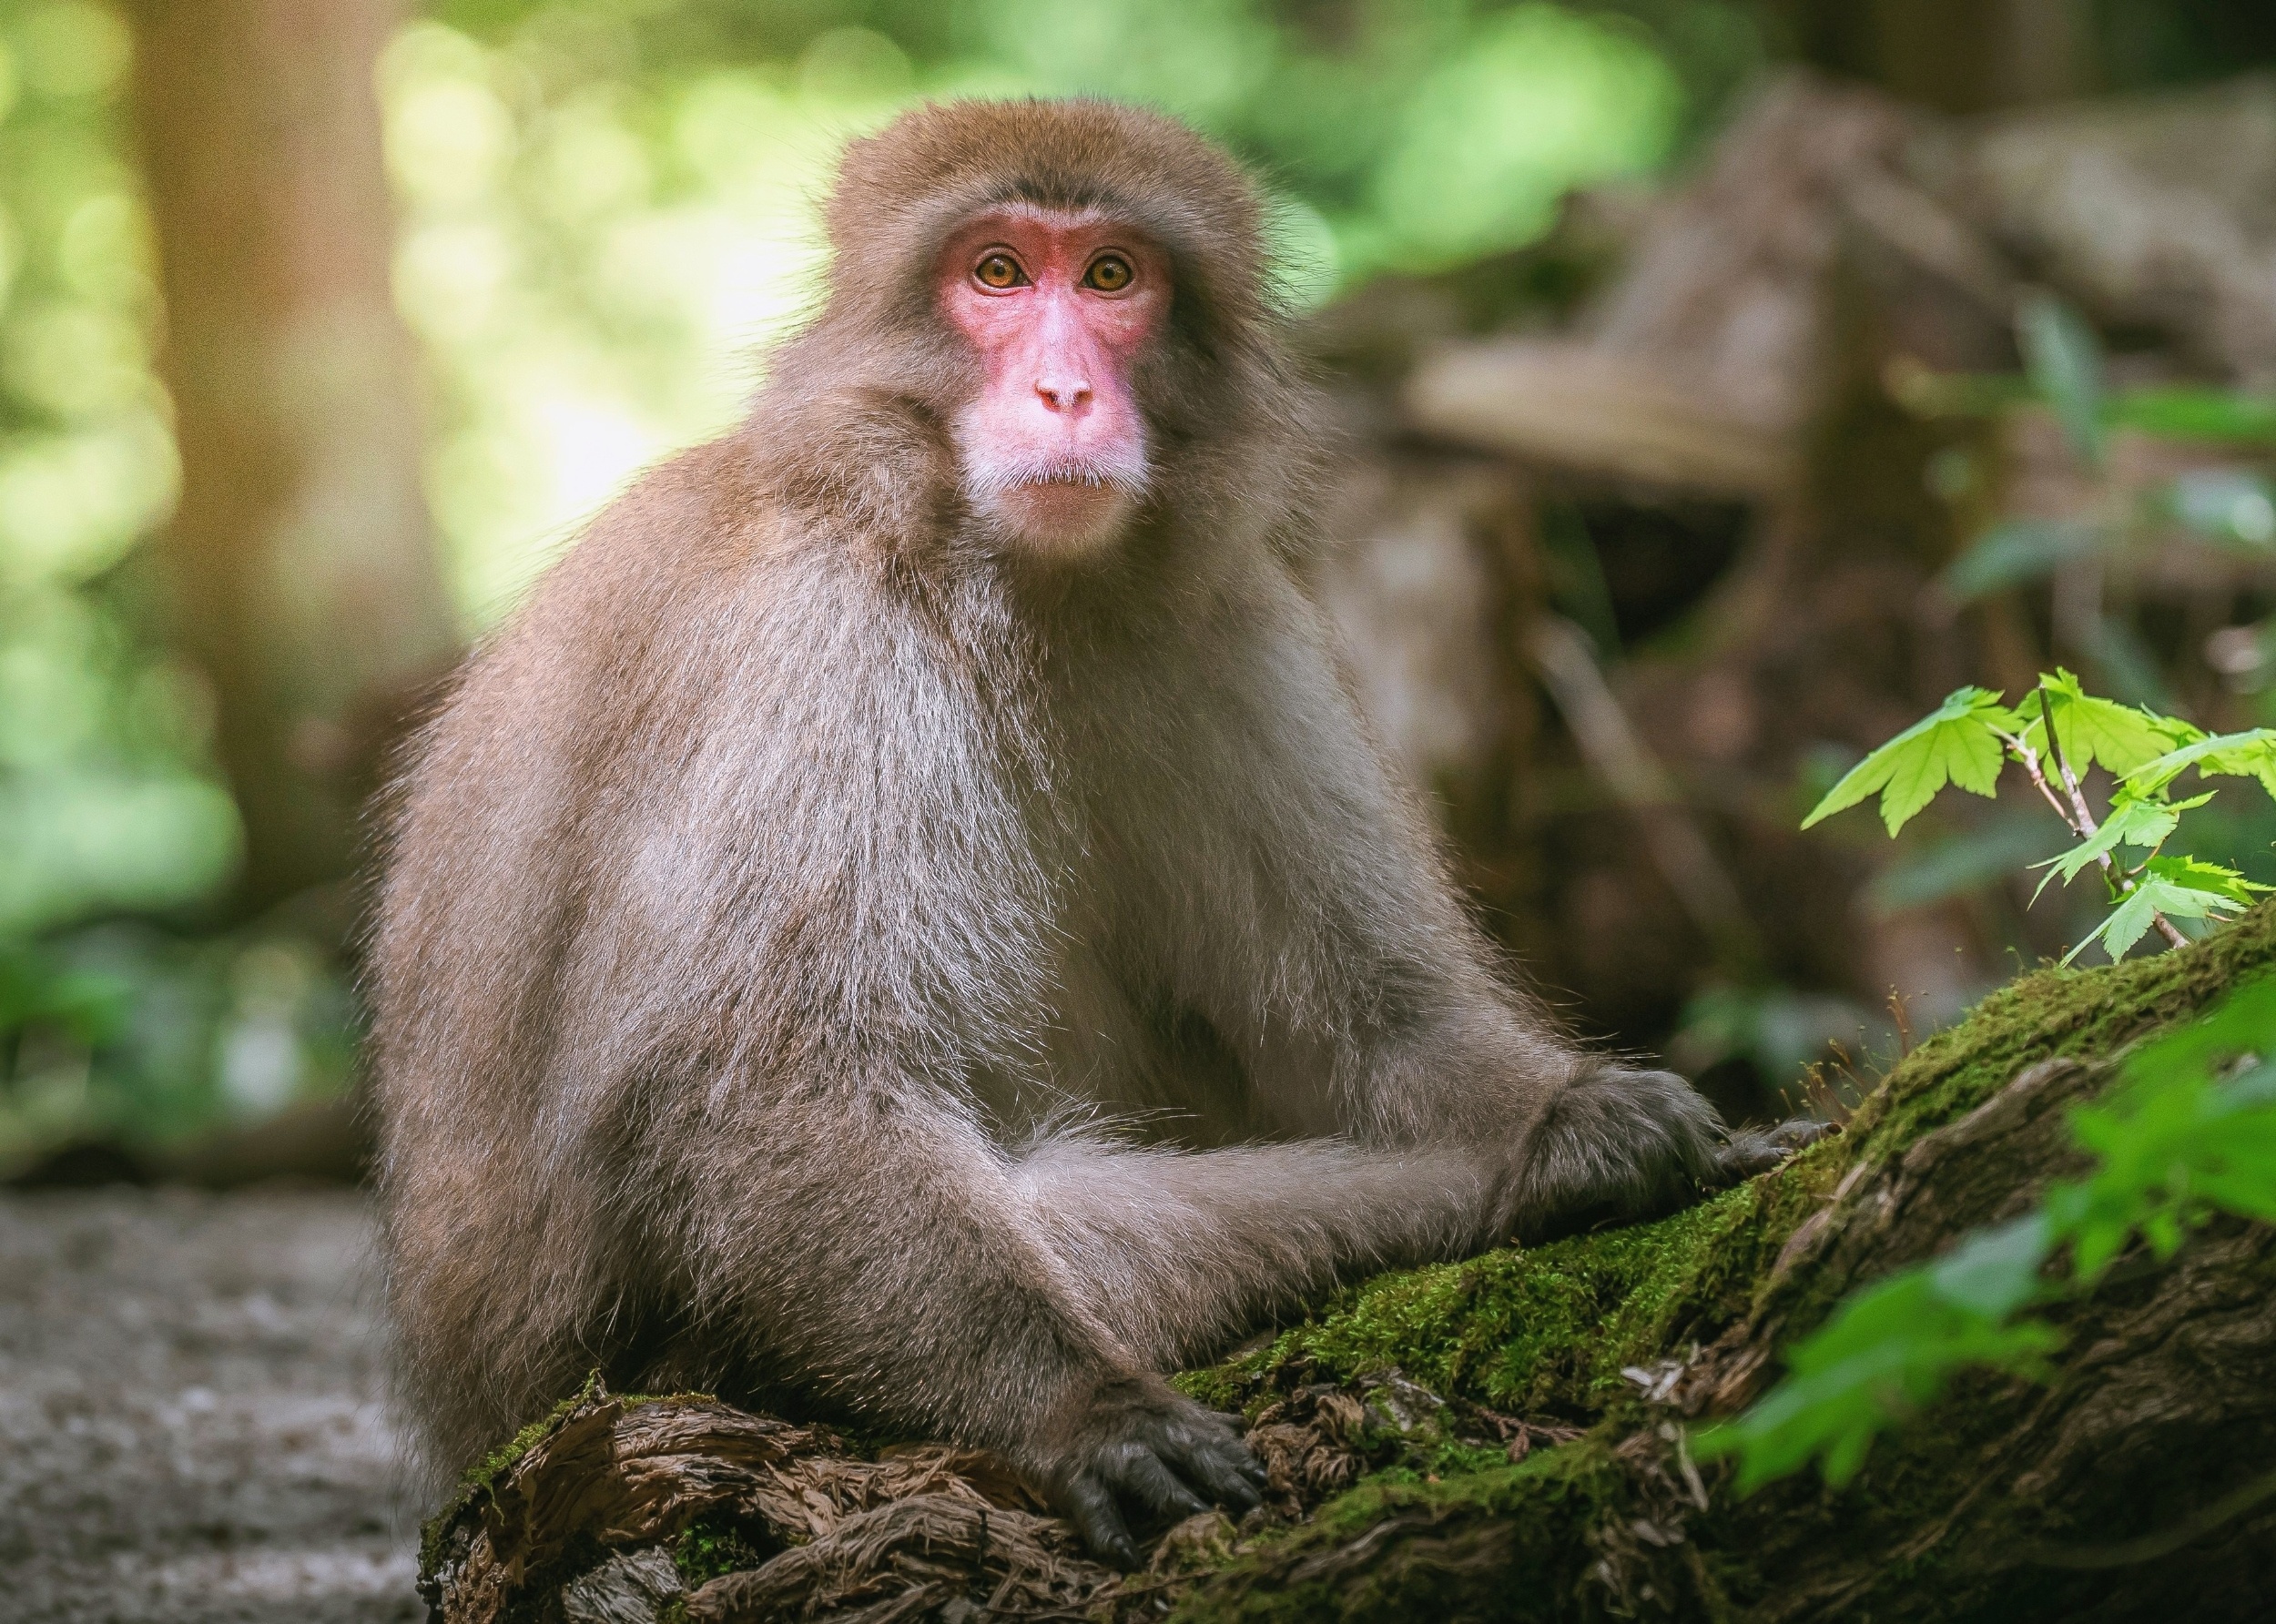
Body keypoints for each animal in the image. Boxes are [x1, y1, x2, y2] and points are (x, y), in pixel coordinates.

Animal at [369, 98, 1815, 1568]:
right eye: (999, 274)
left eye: (1112, 277)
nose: (1065, 391)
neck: (1001, 575)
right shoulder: (816, 643)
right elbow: (760, 1089)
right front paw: (1084, 1405)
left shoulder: (1223, 632)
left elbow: (1365, 1028)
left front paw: (1572, 1118)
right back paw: (1462, 1196)